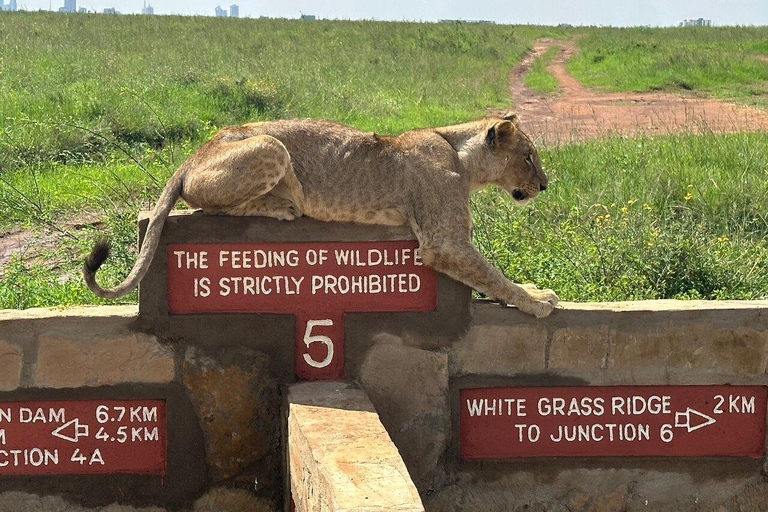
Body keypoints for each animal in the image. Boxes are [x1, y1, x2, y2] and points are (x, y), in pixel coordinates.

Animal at [85, 114, 560, 318]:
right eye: (529, 156)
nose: (545, 185)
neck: (465, 159)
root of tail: (191, 155)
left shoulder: (452, 242)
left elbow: (491, 278)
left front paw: (534, 292)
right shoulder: (444, 242)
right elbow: (494, 275)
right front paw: (537, 303)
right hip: (269, 146)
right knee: (208, 204)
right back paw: (284, 206)